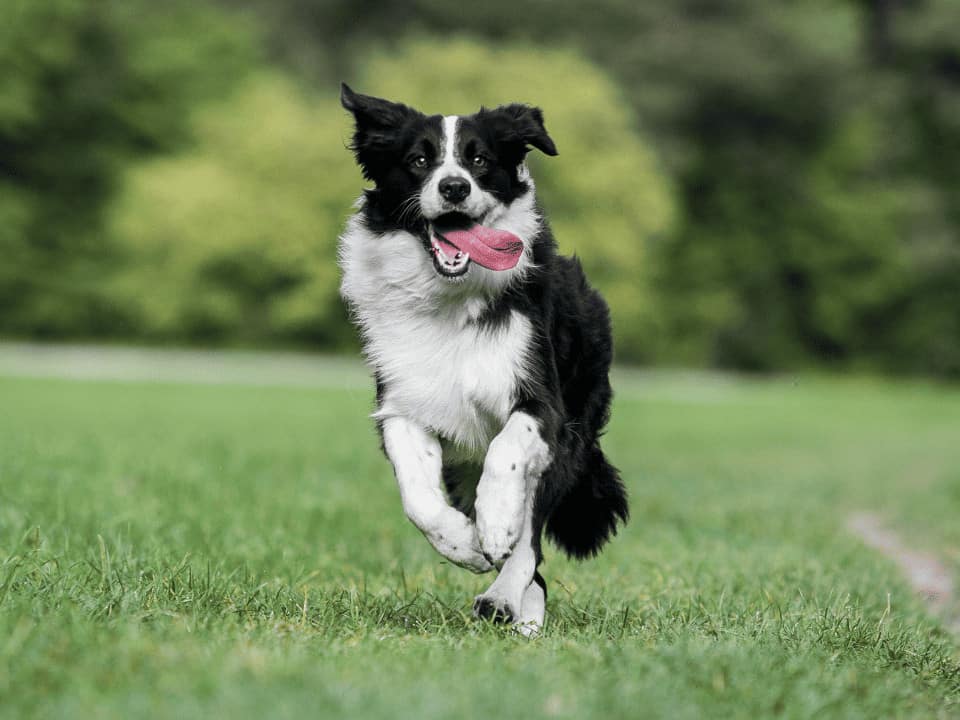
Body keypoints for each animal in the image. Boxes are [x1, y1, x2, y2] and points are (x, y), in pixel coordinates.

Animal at [340, 86, 632, 636]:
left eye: (479, 160)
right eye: (419, 160)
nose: (454, 187)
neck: (450, 300)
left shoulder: (543, 405)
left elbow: (507, 454)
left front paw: (494, 525)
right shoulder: (403, 405)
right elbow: (417, 496)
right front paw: (463, 544)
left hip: (573, 436)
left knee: (531, 539)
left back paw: (505, 600)